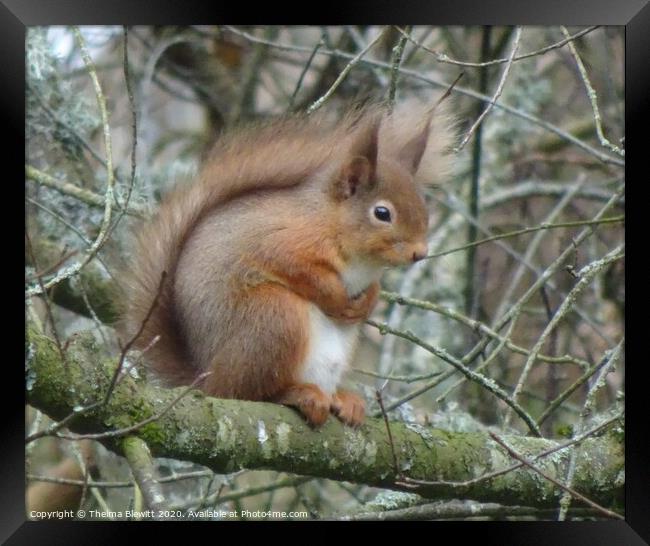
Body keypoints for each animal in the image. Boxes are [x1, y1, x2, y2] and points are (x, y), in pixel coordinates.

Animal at [119, 100, 454, 428]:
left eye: (423, 204)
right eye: (382, 213)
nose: (420, 253)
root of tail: (206, 379)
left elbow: (372, 288)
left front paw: (368, 303)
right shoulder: (281, 243)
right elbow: (303, 273)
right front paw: (337, 299)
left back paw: (343, 400)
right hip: (274, 318)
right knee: (247, 392)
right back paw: (297, 394)